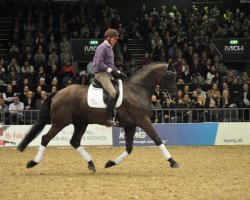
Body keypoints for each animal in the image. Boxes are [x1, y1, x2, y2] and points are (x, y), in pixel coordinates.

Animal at [17, 63, 179, 172]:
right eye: (170, 76)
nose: (175, 95)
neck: (137, 90)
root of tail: (58, 92)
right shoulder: (142, 120)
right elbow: (157, 139)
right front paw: (172, 161)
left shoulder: (130, 125)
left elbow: (129, 148)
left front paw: (110, 163)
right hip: (60, 122)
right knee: (45, 138)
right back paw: (32, 163)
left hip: (81, 123)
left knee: (75, 141)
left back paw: (91, 164)